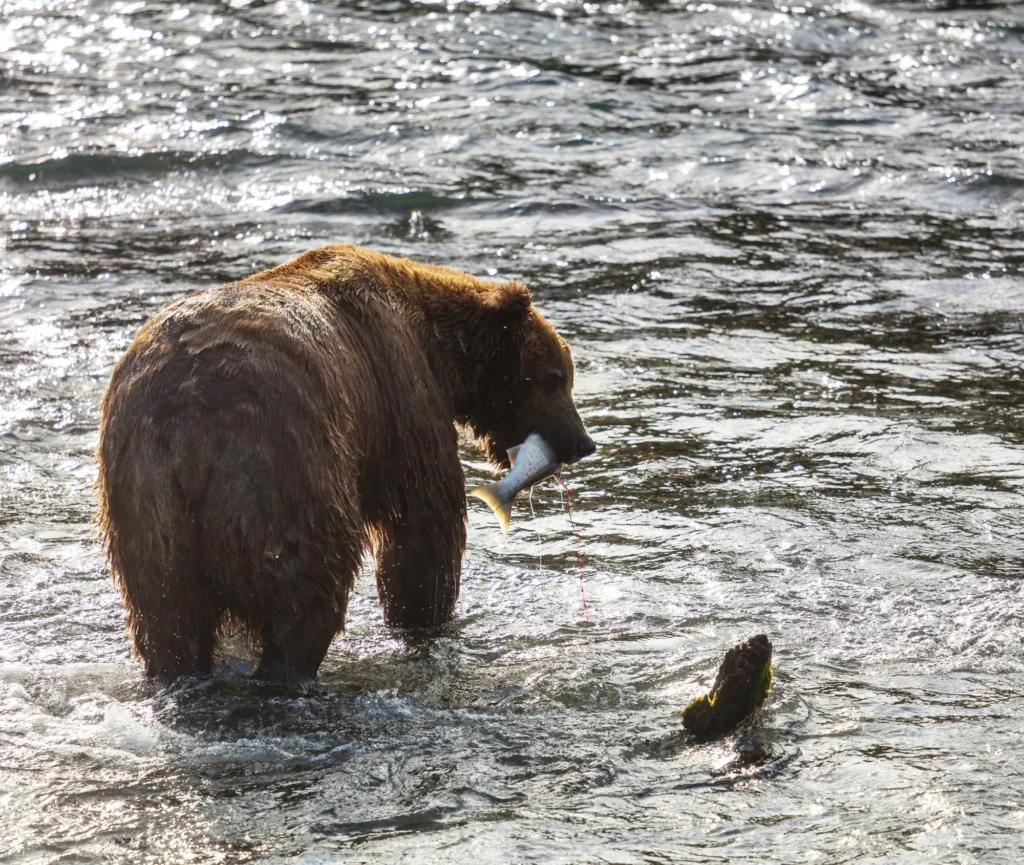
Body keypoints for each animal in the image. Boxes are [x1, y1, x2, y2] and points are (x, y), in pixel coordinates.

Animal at [97, 241, 593, 679]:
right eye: (556, 376)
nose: (582, 441)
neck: (437, 349)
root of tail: (191, 430)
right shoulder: (400, 399)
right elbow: (423, 522)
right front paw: (424, 615)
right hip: (283, 471)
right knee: (308, 587)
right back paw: (290, 670)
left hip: (145, 507)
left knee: (167, 618)